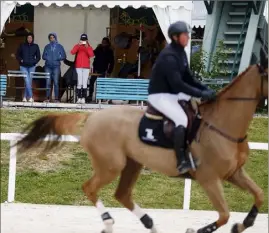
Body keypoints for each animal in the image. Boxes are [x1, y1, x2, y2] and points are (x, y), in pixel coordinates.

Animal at [16, 47, 266, 233]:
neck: (222, 124)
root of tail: (92, 117)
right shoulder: (209, 179)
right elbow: (224, 215)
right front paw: (197, 230)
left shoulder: (234, 173)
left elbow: (259, 196)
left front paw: (243, 224)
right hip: (111, 165)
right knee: (90, 188)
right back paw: (109, 222)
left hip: (132, 164)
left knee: (122, 194)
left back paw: (149, 223)